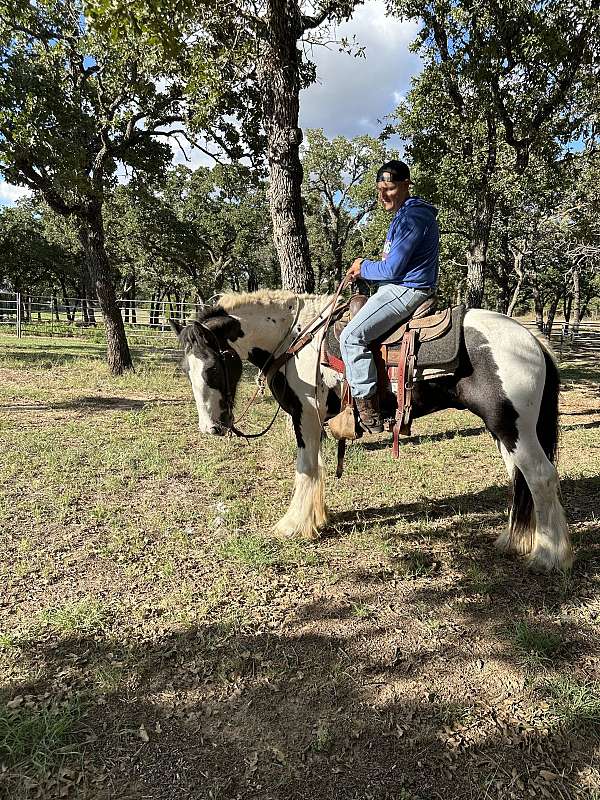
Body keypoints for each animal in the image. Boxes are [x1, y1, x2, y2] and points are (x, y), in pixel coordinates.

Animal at [171, 290, 576, 572]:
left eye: (211, 368)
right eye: (186, 370)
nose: (212, 428)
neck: (295, 339)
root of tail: (531, 339)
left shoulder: (306, 417)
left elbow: (305, 469)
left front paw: (293, 526)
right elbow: (317, 469)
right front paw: (316, 518)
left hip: (512, 427)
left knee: (540, 477)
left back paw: (548, 557)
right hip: (505, 430)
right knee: (520, 479)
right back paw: (513, 541)